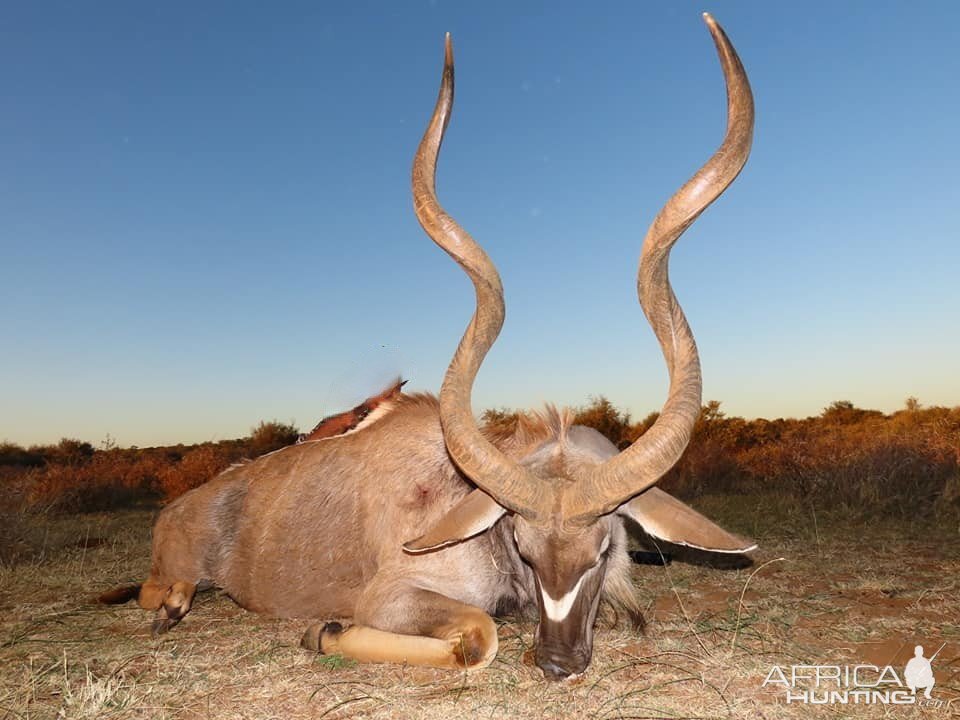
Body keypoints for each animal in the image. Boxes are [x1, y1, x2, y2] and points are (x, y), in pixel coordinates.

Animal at [103, 15, 756, 680]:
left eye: (602, 551)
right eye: (522, 547)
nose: (558, 661)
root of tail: (181, 507)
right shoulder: (390, 596)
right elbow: (479, 635)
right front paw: (322, 631)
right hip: (174, 571)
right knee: (158, 591)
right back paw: (175, 605)